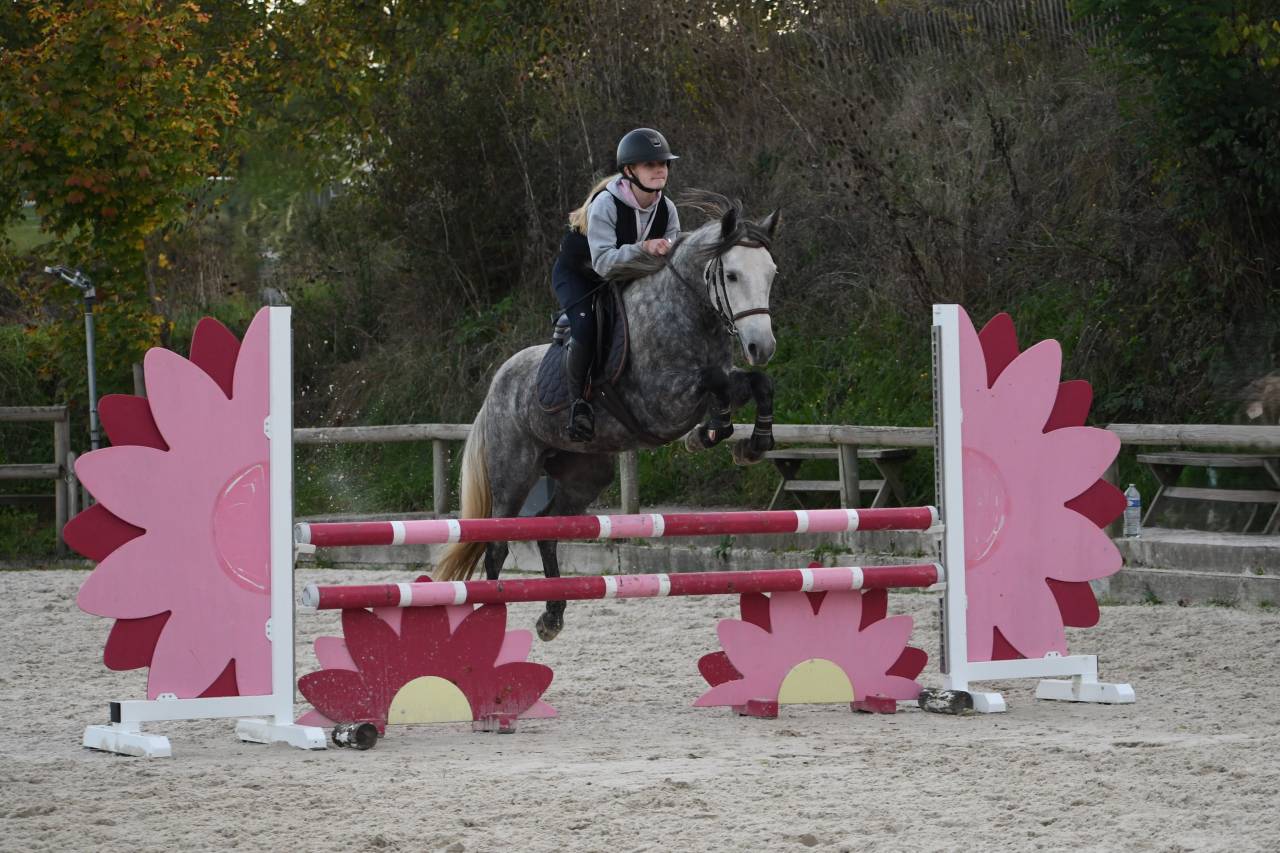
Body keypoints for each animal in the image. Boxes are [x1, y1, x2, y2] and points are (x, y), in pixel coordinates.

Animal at [434, 191, 781, 641]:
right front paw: (711, 432)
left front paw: (751, 444)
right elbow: (713, 384)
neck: (686, 312)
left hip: (586, 473)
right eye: (733, 275)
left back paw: (552, 615)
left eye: (771, 274)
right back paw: (497, 617)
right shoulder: (662, 403)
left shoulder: (722, 380)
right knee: (497, 544)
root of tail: (495, 386)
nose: (762, 347)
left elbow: (757, 384)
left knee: (549, 529)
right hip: (513, 473)